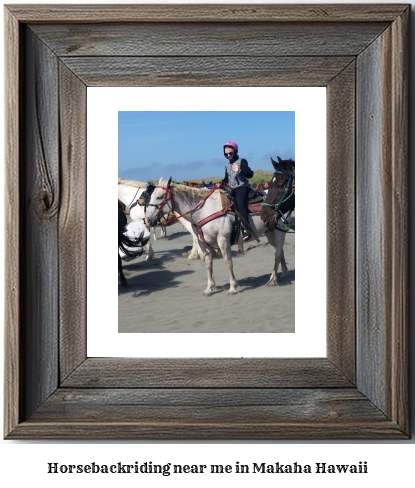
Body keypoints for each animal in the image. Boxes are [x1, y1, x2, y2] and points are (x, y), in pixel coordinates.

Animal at [146, 178, 292, 296]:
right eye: (151, 196)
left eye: (159, 197)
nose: (148, 220)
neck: (204, 210)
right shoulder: (203, 242)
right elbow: (208, 264)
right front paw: (210, 288)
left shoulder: (223, 239)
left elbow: (228, 262)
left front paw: (233, 287)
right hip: (270, 233)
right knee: (280, 252)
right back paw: (284, 273)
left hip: (279, 232)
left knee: (277, 254)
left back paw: (272, 279)